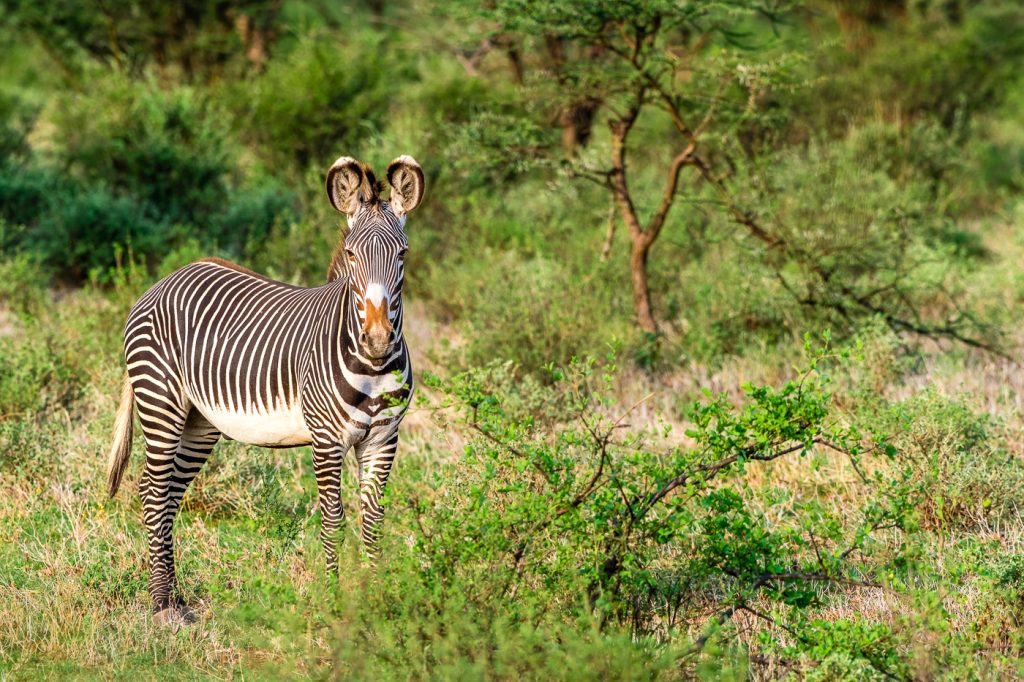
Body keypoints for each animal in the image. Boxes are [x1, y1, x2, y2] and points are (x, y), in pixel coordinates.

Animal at [103, 153, 423, 622]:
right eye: (351, 254)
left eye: (402, 254)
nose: (379, 339)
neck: (372, 366)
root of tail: (164, 280)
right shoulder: (326, 440)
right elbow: (333, 521)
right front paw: (334, 604)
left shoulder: (384, 440)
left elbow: (372, 521)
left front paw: (377, 603)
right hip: (161, 401)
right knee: (153, 491)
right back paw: (162, 606)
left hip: (200, 422)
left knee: (170, 494)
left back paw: (176, 598)